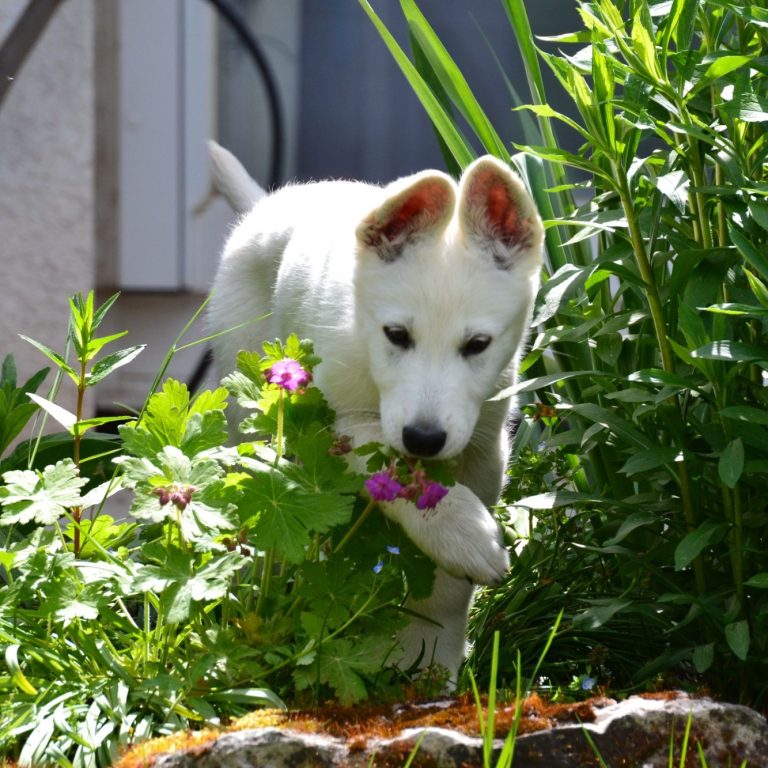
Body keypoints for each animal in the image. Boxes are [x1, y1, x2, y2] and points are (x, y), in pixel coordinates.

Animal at [207, 146, 544, 684]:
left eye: (477, 345)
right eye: (397, 335)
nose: (424, 438)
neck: (364, 341)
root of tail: (266, 205)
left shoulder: (484, 447)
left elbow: (448, 591)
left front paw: (432, 656)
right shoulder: (330, 424)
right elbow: (392, 463)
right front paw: (464, 536)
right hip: (249, 408)